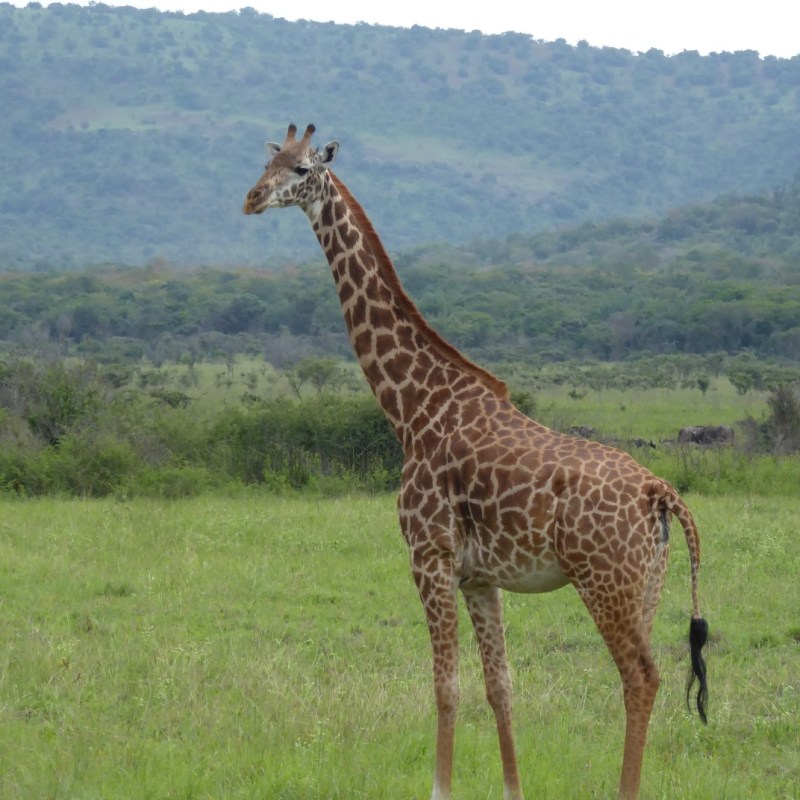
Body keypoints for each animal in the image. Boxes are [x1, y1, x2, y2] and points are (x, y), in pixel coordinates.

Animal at [243, 123, 709, 800]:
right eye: (266, 161)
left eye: (301, 168)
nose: (251, 198)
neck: (412, 408)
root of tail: (660, 492)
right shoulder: (479, 577)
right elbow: (499, 687)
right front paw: (514, 789)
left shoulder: (428, 558)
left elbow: (446, 687)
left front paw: (439, 787)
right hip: (649, 582)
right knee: (642, 676)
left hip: (604, 580)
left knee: (641, 677)